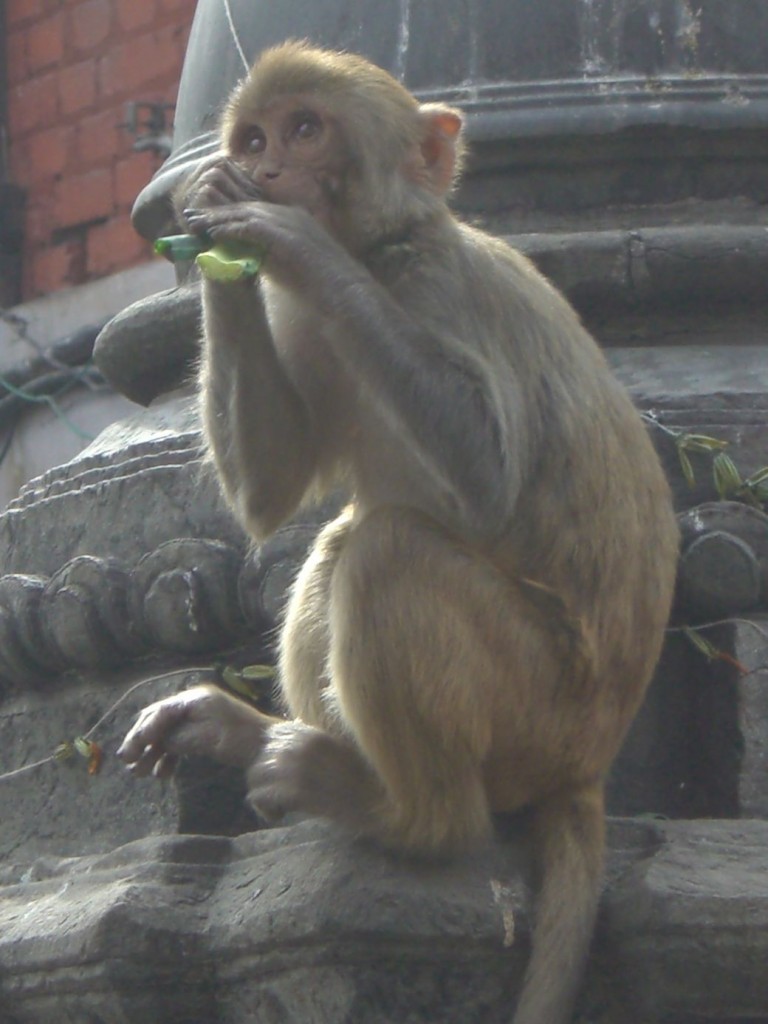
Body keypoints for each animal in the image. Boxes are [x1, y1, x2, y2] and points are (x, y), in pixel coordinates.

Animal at [115, 44, 679, 1024]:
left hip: (542, 710)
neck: (376, 254)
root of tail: (587, 767)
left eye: (306, 129)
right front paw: (214, 222)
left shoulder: (436, 288)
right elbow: (270, 493)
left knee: (388, 553)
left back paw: (410, 816)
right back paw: (255, 739)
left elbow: (489, 481)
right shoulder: (298, 324)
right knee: (340, 539)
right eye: (255, 138)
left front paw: (284, 236)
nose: (264, 170)